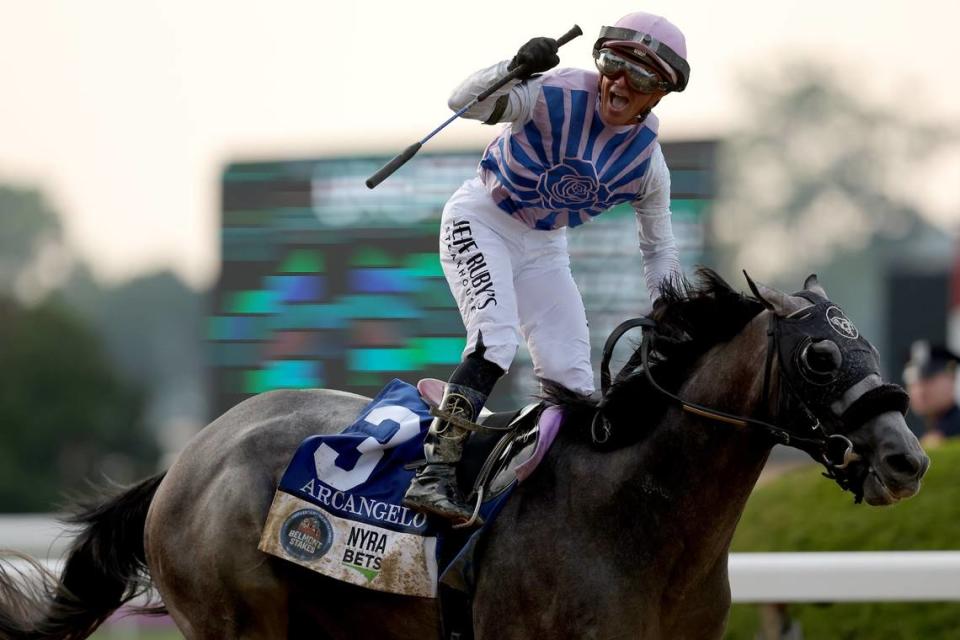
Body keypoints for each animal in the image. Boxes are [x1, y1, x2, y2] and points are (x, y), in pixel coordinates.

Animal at [1, 272, 928, 640]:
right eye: (820, 357)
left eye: (870, 344)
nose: (909, 461)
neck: (635, 517)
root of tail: (187, 457)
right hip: (237, 621)